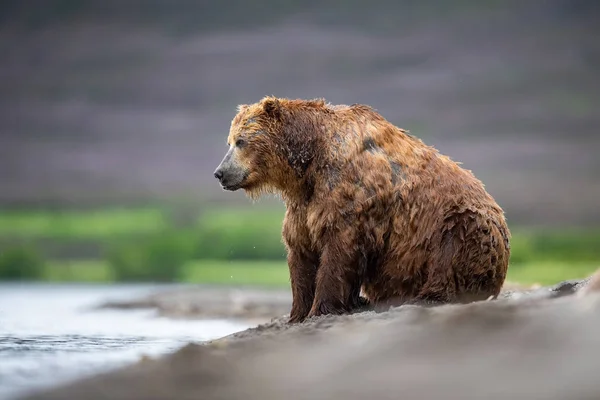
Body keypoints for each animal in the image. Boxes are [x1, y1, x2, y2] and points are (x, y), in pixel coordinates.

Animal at [213, 95, 508, 324]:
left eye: (241, 141)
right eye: (229, 141)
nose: (220, 173)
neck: (309, 162)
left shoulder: (350, 194)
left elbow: (339, 248)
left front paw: (322, 308)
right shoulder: (304, 203)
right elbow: (301, 249)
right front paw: (297, 313)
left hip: (459, 225)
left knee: (451, 251)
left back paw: (427, 296)